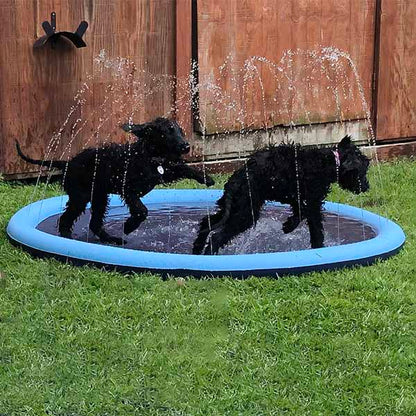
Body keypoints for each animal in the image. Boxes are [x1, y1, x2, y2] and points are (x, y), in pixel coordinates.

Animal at [17, 117, 214, 244]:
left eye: (179, 131)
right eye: (167, 132)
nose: (186, 146)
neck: (147, 155)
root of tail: (68, 163)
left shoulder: (163, 172)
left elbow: (182, 168)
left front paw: (205, 178)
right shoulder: (129, 190)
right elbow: (141, 210)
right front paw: (129, 226)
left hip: (99, 197)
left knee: (94, 223)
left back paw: (112, 239)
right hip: (80, 197)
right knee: (66, 219)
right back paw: (67, 239)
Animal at [193, 135, 368, 255]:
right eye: (362, 172)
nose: (367, 187)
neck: (331, 162)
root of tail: (235, 180)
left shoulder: (296, 198)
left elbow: (301, 212)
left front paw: (289, 225)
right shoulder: (312, 200)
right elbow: (314, 225)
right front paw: (315, 245)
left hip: (233, 207)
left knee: (206, 222)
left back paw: (197, 249)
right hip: (246, 212)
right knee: (217, 236)